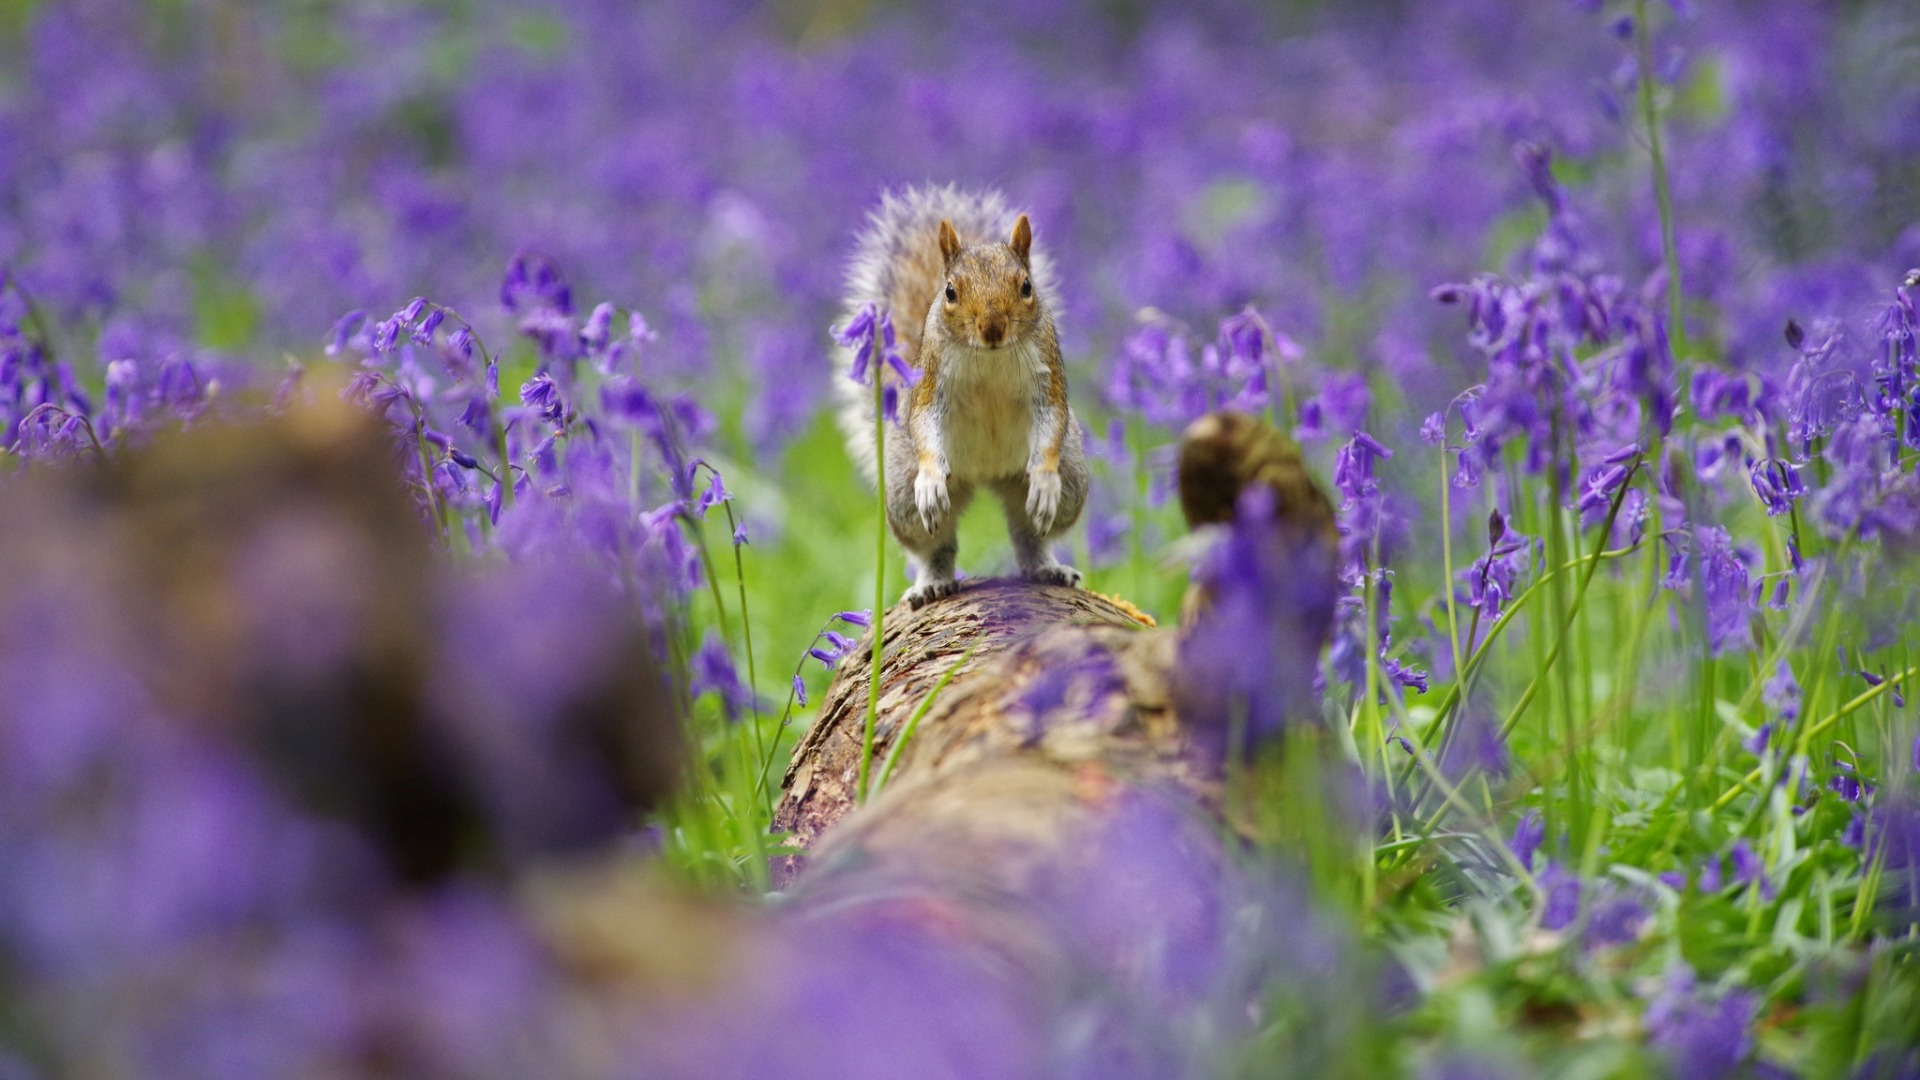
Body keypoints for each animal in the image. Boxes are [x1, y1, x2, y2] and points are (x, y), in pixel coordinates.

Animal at [837, 184, 1090, 607]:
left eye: (1026, 286)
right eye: (950, 291)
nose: (992, 327)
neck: (989, 356)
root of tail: (987, 475)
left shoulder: (1047, 378)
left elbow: (1052, 421)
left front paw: (1044, 479)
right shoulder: (931, 382)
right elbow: (924, 423)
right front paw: (931, 479)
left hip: (1069, 479)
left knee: (1029, 533)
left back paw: (1046, 567)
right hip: (903, 496)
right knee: (935, 546)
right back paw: (932, 583)